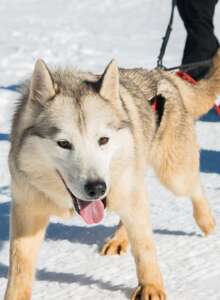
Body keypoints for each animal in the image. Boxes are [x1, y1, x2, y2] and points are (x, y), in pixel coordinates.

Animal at [4, 52, 220, 300]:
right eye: (64, 143)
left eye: (103, 140)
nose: (96, 188)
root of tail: (162, 75)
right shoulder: (28, 212)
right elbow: (20, 264)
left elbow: (144, 247)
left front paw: (151, 286)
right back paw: (119, 238)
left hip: (172, 176)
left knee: (193, 187)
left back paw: (206, 221)